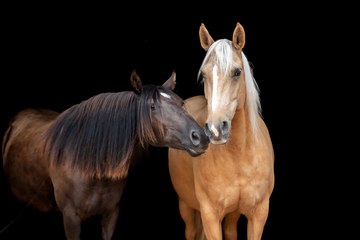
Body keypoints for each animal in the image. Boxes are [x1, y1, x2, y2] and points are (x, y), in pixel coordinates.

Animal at [2, 70, 208, 239]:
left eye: (181, 103)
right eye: (152, 106)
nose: (201, 136)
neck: (90, 167)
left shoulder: (111, 214)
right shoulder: (70, 218)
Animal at [170, 23, 274, 240]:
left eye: (237, 72)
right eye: (204, 75)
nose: (216, 130)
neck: (239, 156)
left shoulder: (259, 214)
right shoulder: (210, 215)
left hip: (233, 214)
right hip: (185, 205)